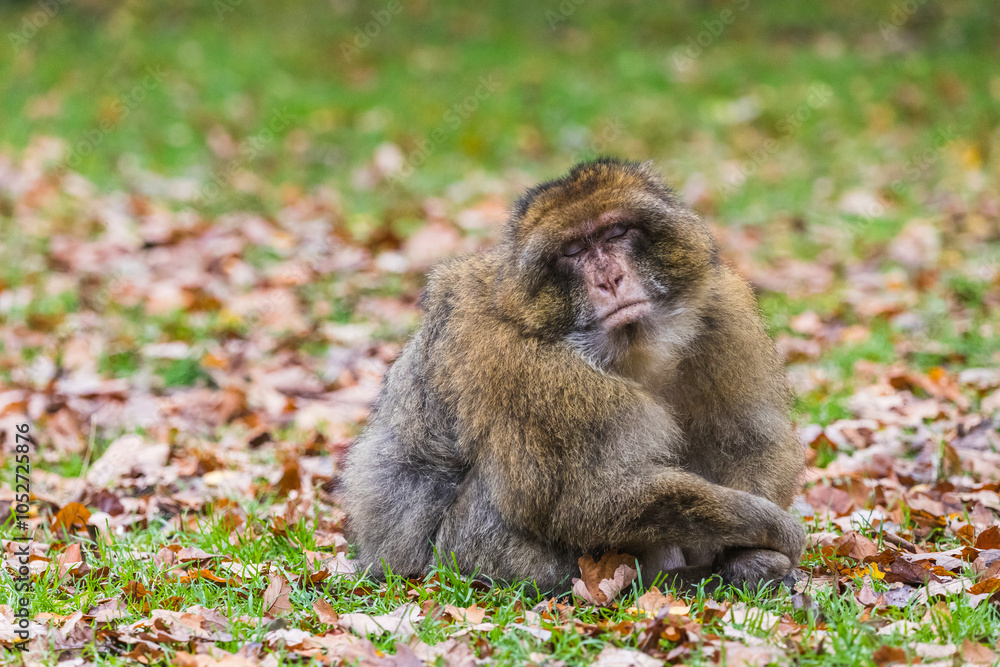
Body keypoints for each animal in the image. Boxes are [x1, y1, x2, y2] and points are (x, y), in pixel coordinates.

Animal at [340, 158, 806, 593]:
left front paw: (751, 556)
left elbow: (746, 439)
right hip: (458, 557)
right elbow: (586, 499)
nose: (610, 279)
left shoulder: (722, 315)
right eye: (574, 250)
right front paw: (765, 527)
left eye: (616, 232)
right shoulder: (526, 370)